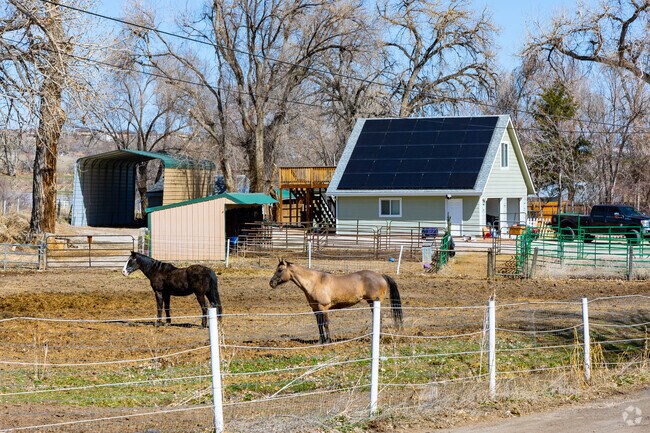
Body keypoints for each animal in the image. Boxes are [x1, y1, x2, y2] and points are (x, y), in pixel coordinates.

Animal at [269, 259, 403, 343]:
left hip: (374, 302)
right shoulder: (315, 309)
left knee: (379, 318)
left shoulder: (324, 307)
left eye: (280, 270)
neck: (314, 282)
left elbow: (326, 324)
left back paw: (378, 337)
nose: (271, 283)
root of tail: (381, 275)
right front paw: (320, 341)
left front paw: (328, 341)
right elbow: (319, 324)